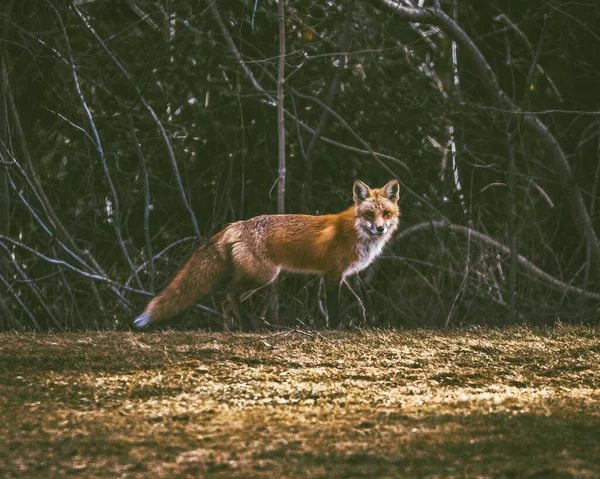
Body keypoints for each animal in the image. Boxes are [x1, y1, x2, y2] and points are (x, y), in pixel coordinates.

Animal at [134, 178, 400, 332]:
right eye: (369, 214)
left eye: (386, 213)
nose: (380, 228)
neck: (357, 232)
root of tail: (235, 225)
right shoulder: (332, 274)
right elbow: (333, 307)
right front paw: (334, 329)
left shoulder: (351, 274)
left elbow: (366, 300)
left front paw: (372, 323)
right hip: (263, 277)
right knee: (229, 293)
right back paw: (248, 327)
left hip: (257, 279)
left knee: (227, 300)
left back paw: (231, 330)